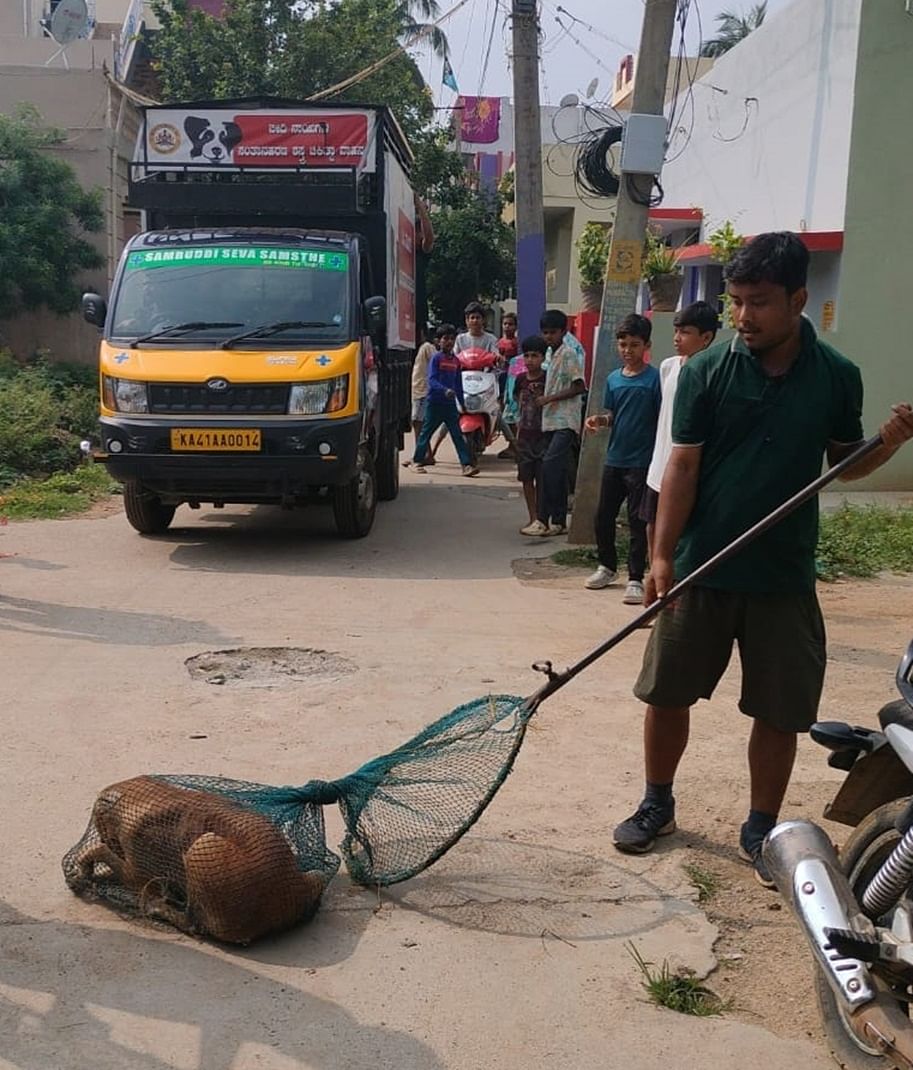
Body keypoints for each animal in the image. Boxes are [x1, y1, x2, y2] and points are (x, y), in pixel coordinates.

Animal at [72, 778, 325, 945]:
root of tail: (283, 911)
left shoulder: (136, 864)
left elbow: (110, 858)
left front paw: (88, 859)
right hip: (314, 876)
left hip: (203, 847)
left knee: (193, 923)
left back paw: (160, 906)